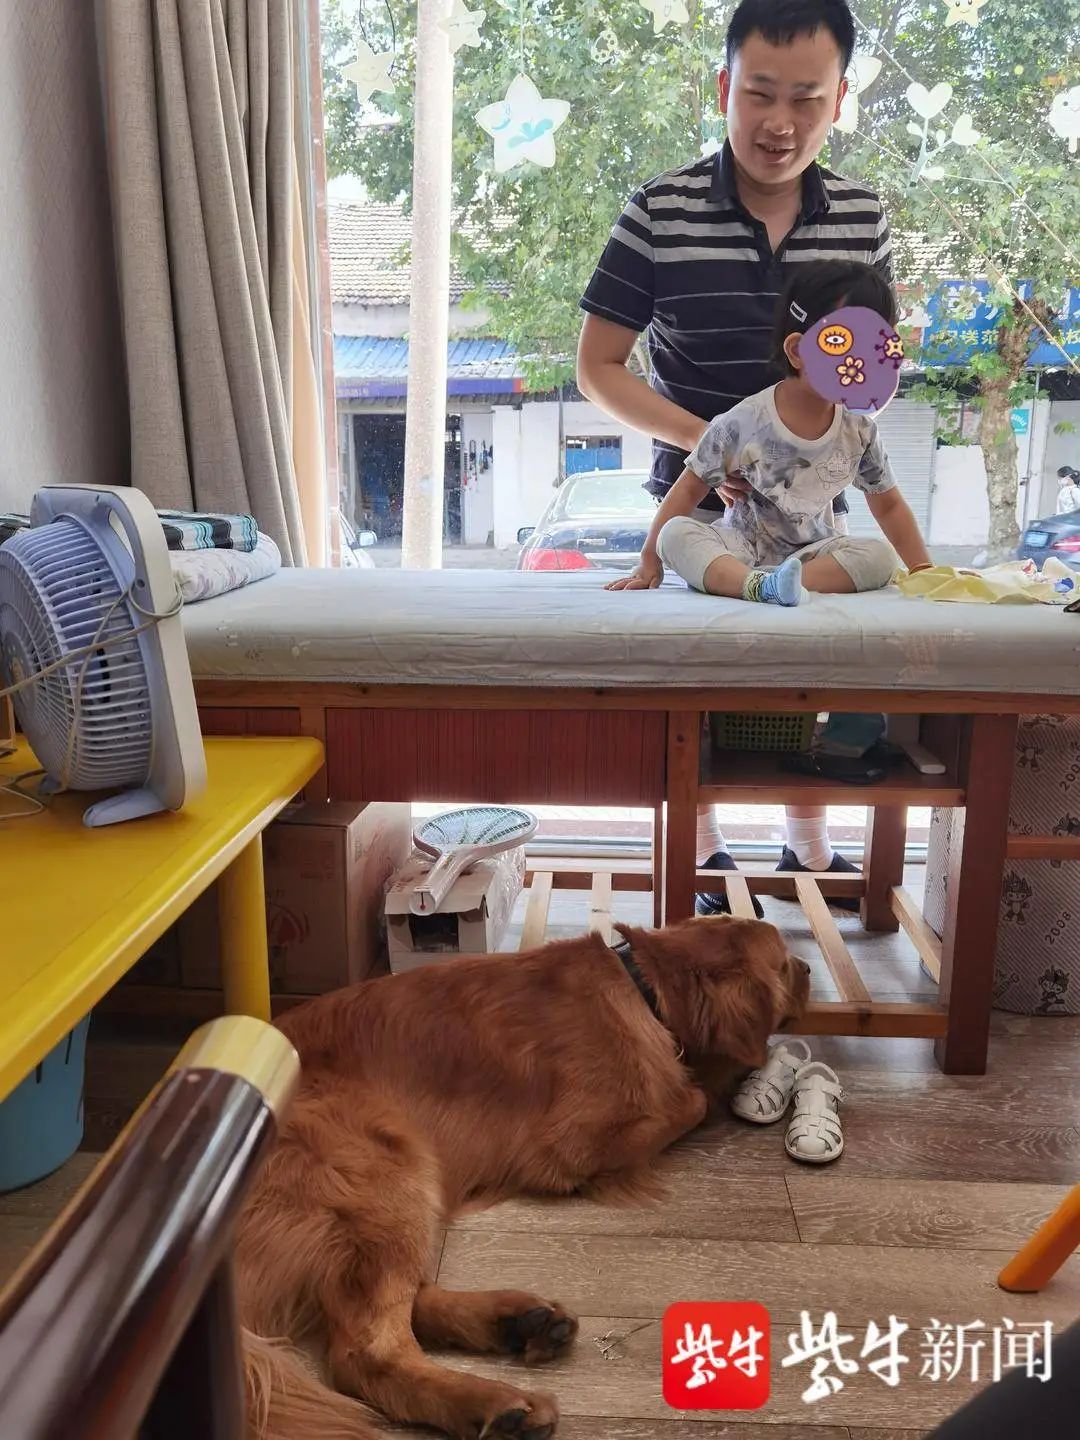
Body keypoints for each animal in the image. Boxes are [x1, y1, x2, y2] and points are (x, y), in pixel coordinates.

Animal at [238, 914, 811, 1440]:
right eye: (784, 964)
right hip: (392, 1168)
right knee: (366, 1351)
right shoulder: (570, 1147)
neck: (642, 988)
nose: (807, 968)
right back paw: (495, 1403)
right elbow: (692, 1099)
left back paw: (516, 1322)